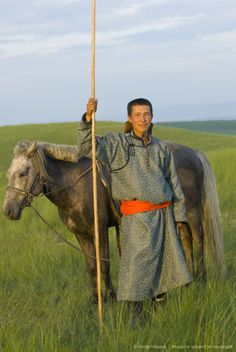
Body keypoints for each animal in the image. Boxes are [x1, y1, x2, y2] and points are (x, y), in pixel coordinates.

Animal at [2, 141, 224, 302]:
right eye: (8, 174)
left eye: (23, 172)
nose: (8, 210)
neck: (76, 185)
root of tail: (194, 153)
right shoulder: (81, 234)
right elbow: (92, 265)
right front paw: (95, 299)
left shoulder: (99, 229)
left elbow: (104, 263)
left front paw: (110, 296)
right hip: (180, 215)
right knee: (186, 240)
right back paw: (189, 280)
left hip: (192, 211)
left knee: (198, 238)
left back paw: (201, 278)